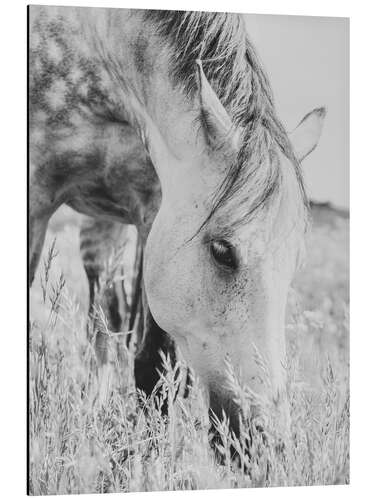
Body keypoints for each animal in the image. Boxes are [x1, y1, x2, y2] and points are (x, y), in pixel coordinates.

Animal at [28, 5, 326, 440]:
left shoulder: (155, 209)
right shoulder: (35, 197)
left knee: (107, 317)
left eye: (295, 263)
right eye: (222, 251)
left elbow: (153, 363)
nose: (265, 439)